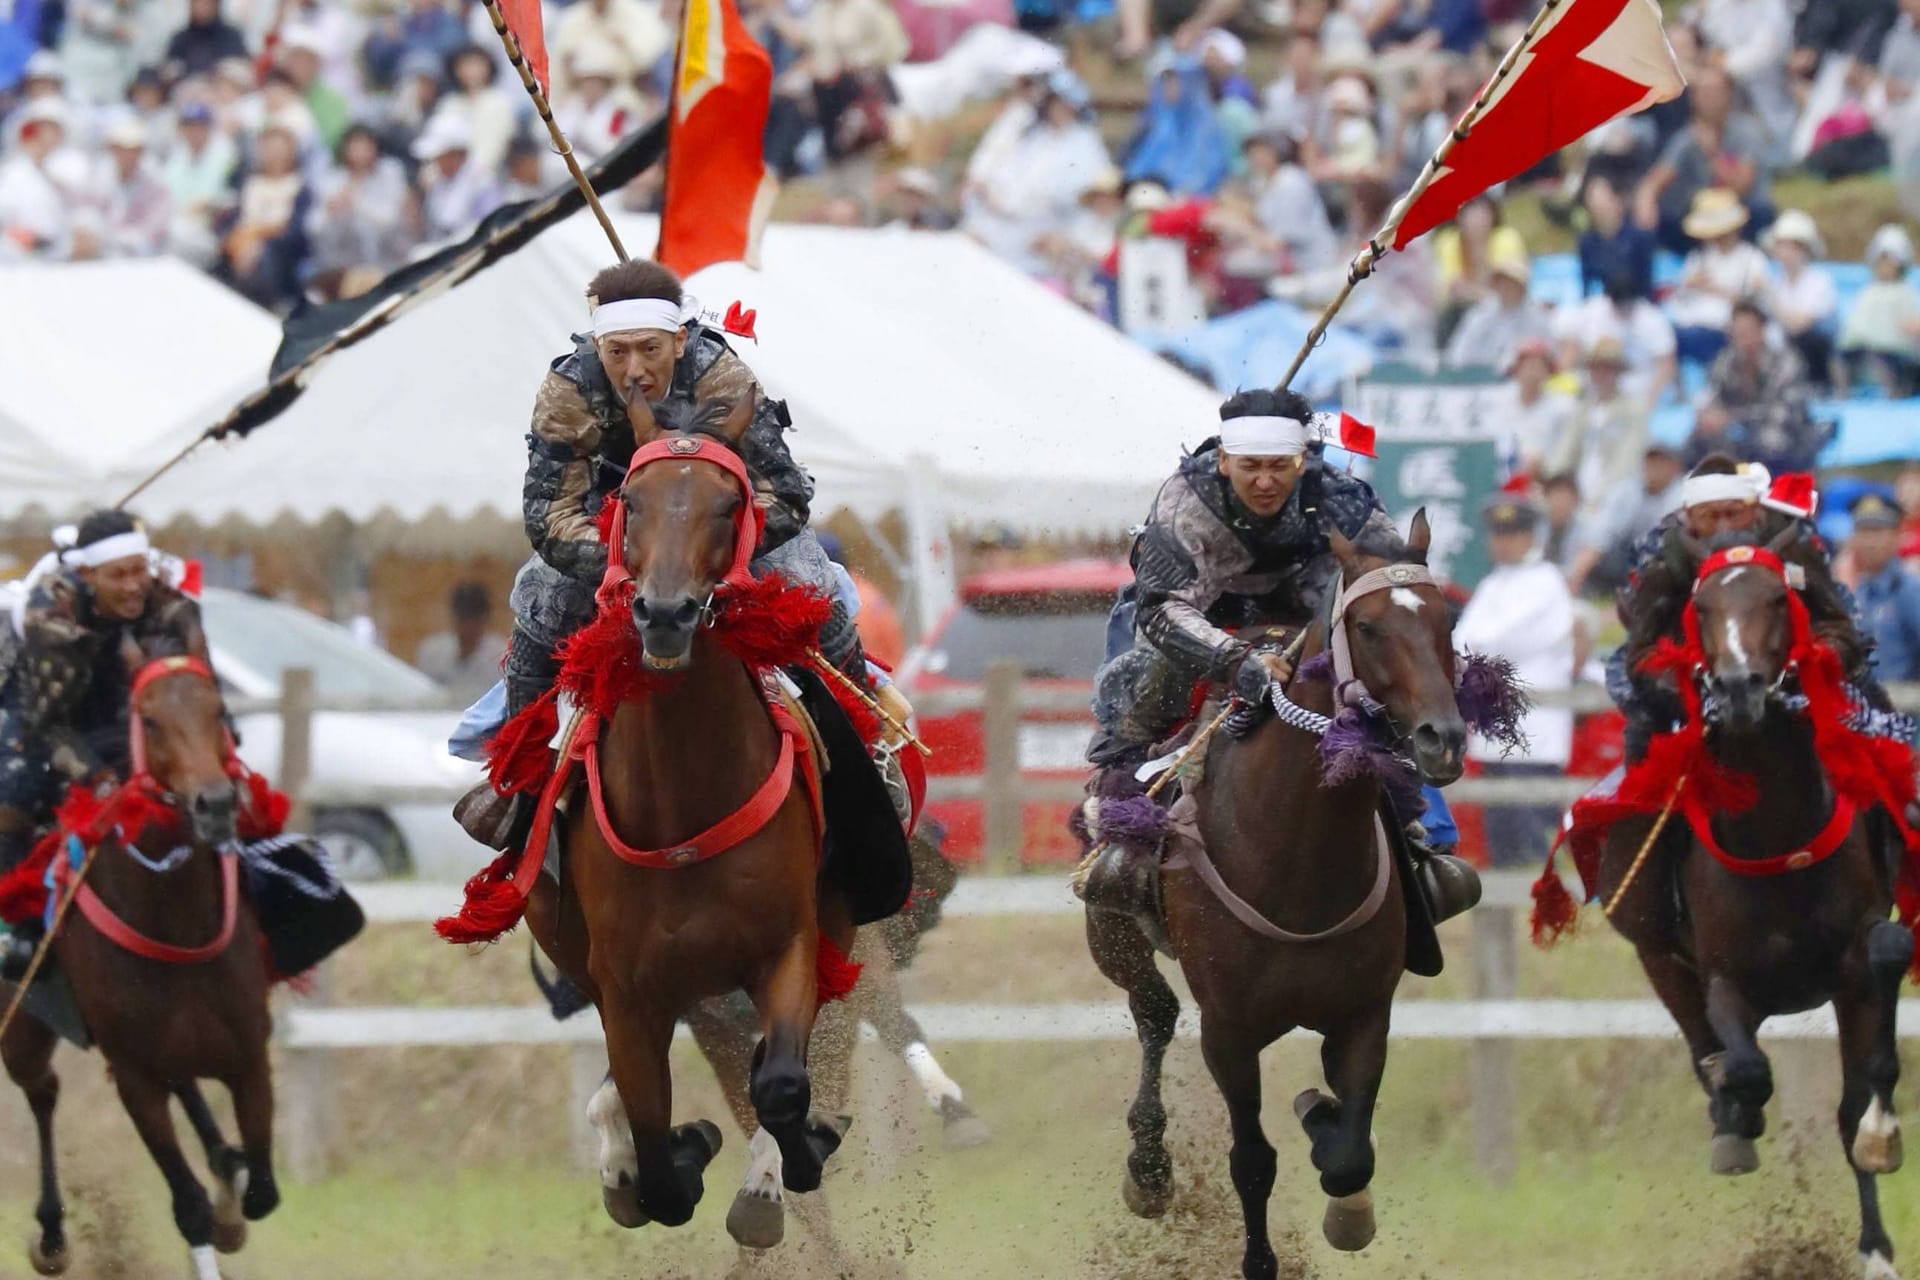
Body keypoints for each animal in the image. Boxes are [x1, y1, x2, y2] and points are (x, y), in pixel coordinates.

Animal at [0, 656, 278, 1280]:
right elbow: (189, 1206)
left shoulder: (248, 1053)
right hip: (22, 1025)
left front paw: (232, 1196)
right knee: (42, 1089)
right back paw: (51, 1234)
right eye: (148, 720)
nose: (214, 804)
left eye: (218, 710)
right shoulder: (135, 1076)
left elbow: (261, 1192)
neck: (175, 920)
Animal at [526, 426, 856, 1243]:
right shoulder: (625, 989)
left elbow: (779, 1084)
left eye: (728, 505)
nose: (667, 613)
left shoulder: (789, 946)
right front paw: (675, 1151)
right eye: (631, 499)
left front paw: (789, 1162)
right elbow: (656, 1156)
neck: (683, 807)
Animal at [1090, 514, 1459, 1280]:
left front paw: (1336, 1169)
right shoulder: (1229, 1032)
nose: (1443, 737)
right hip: (1113, 935)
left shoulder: (1363, 1015)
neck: (1296, 856)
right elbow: (1253, 1161)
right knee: (1154, 1013)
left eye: (1447, 619)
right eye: (1369, 627)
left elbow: (1349, 1153)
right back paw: (1149, 1168)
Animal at [1597, 541, 1912, 1280]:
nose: (1740, 687)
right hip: (1659, 956)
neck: (1776, 831)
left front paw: (1880, 1154)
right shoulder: (1722, 975)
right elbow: (1742, 1064)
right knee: (1703, 1045)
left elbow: (1864, 1080)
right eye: (1703, 608)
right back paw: (1730, 1116)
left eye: (1775, 600)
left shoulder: (1854, 968)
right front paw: (1738, 1115)